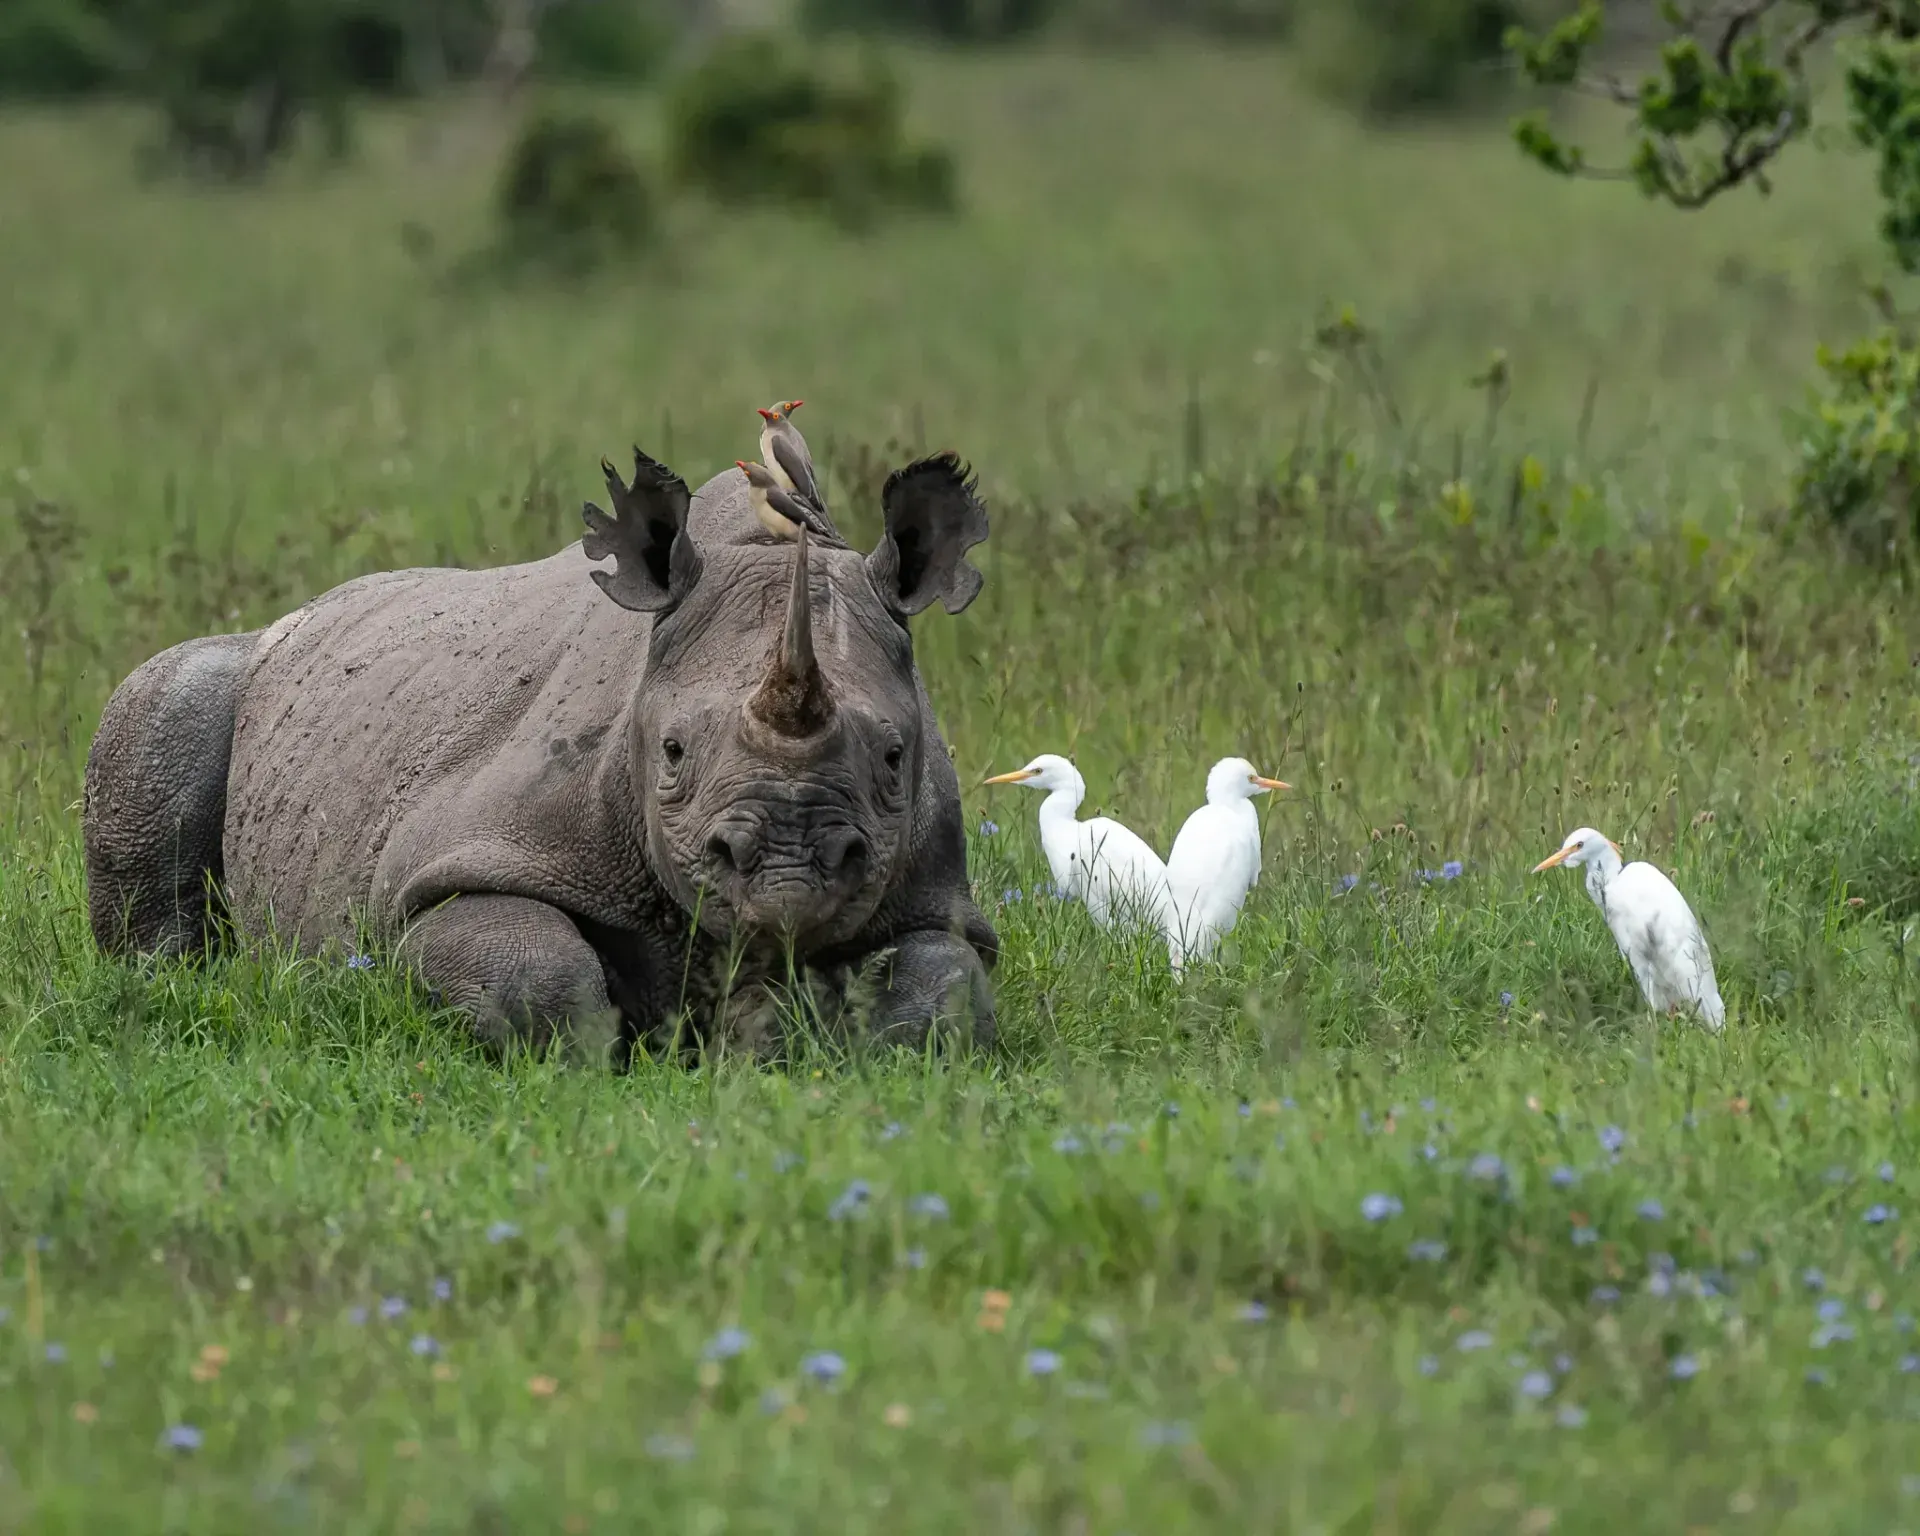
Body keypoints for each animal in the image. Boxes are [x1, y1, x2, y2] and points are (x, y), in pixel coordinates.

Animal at [81, 446, 1000, 1056]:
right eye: (671, 752)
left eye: (894, 758)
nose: (787, 877)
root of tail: (304, 611)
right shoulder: (465, 853)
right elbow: (535, 977)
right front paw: (594, 1058)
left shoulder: (933, 891)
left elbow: (944, 989)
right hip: (241, 677)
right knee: (169, 698)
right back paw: (179, 983)